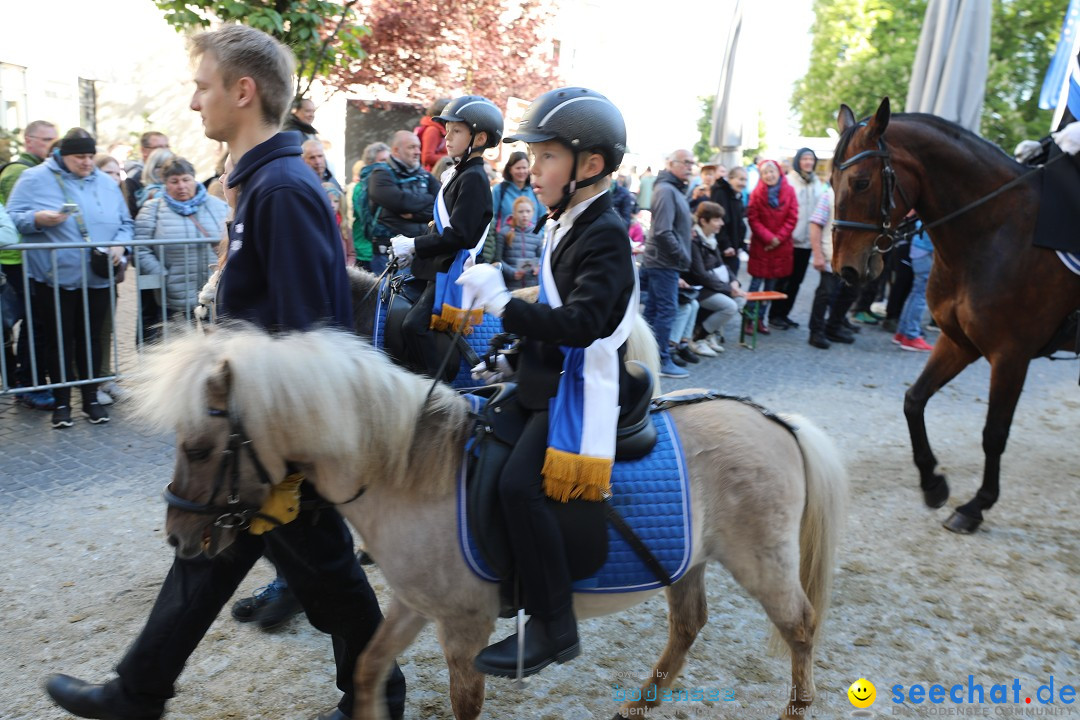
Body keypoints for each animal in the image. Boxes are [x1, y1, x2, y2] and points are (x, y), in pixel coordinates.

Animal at [829, 95, 1075, 535]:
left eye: (860, 182)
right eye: (827, 181)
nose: (846, 270)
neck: (994, 229)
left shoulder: (1010, 355)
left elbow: (994, 433)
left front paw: (976, 505)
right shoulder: (959, 342)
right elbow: (914, 400)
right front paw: (933, 484)